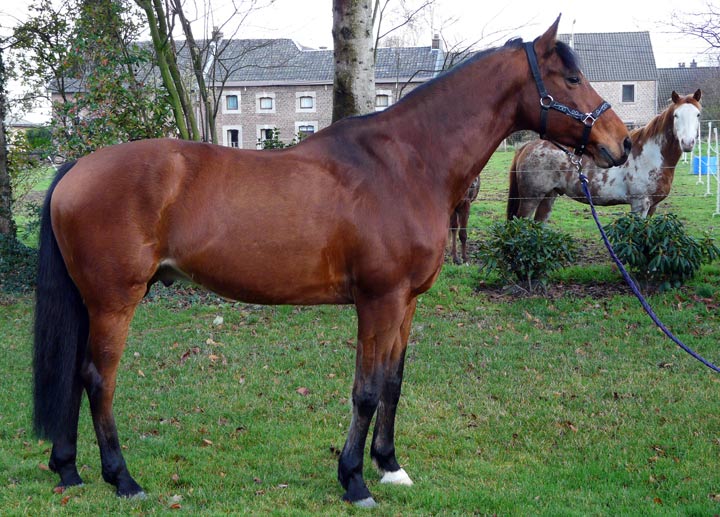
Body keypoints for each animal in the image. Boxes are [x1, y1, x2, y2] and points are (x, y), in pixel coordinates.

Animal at [33, 16, 630, 507]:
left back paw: (69, 471)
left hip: (92, 302)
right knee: (98, 379)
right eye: (570, 79)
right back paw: (122, 479)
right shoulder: (378, 301)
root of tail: (78, 167)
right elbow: (365, 390)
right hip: (115, 302)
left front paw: (390, 466)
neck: (407, 164)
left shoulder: (406, 303)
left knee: (73, 376)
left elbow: (393, 381)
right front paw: (355, 480)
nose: (621, 142)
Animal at [507, 90, 702, 221]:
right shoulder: (640, 205)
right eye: (676, 115)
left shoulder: (652, 206)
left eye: (698, 114)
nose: (687, 143)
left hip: (549, 196)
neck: (650, 156)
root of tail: (527, 146)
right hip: (530, 199)